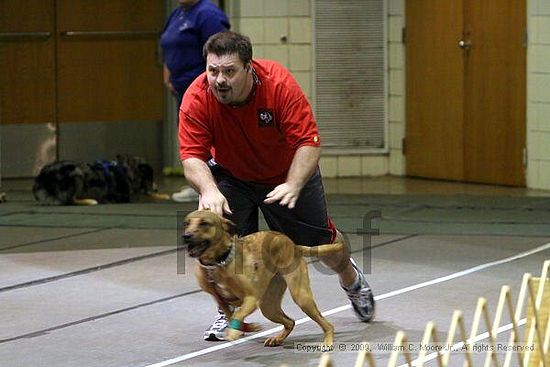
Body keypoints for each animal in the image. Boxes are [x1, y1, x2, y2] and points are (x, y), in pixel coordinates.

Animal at [33, 156, 169, 206]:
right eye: (151, 177)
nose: (156, 189)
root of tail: (42, 179)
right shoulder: (130, 197)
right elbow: (146, 196)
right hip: (76, 174)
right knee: (70, 200)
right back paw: (90, 201)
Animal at [183, 210, 342, 348]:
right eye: (187, 223)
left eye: (204, 223)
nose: (186, 236)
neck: (218, 262)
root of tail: (294, 245)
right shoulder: (221, 300)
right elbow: (231, 315)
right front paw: (249, 327)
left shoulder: (251, 299)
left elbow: (238, 314)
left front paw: (234, 331)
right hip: (268, 307)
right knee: (290, 322)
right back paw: (277, 339)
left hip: (301, 297)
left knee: (327, 325)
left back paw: (327, 341)